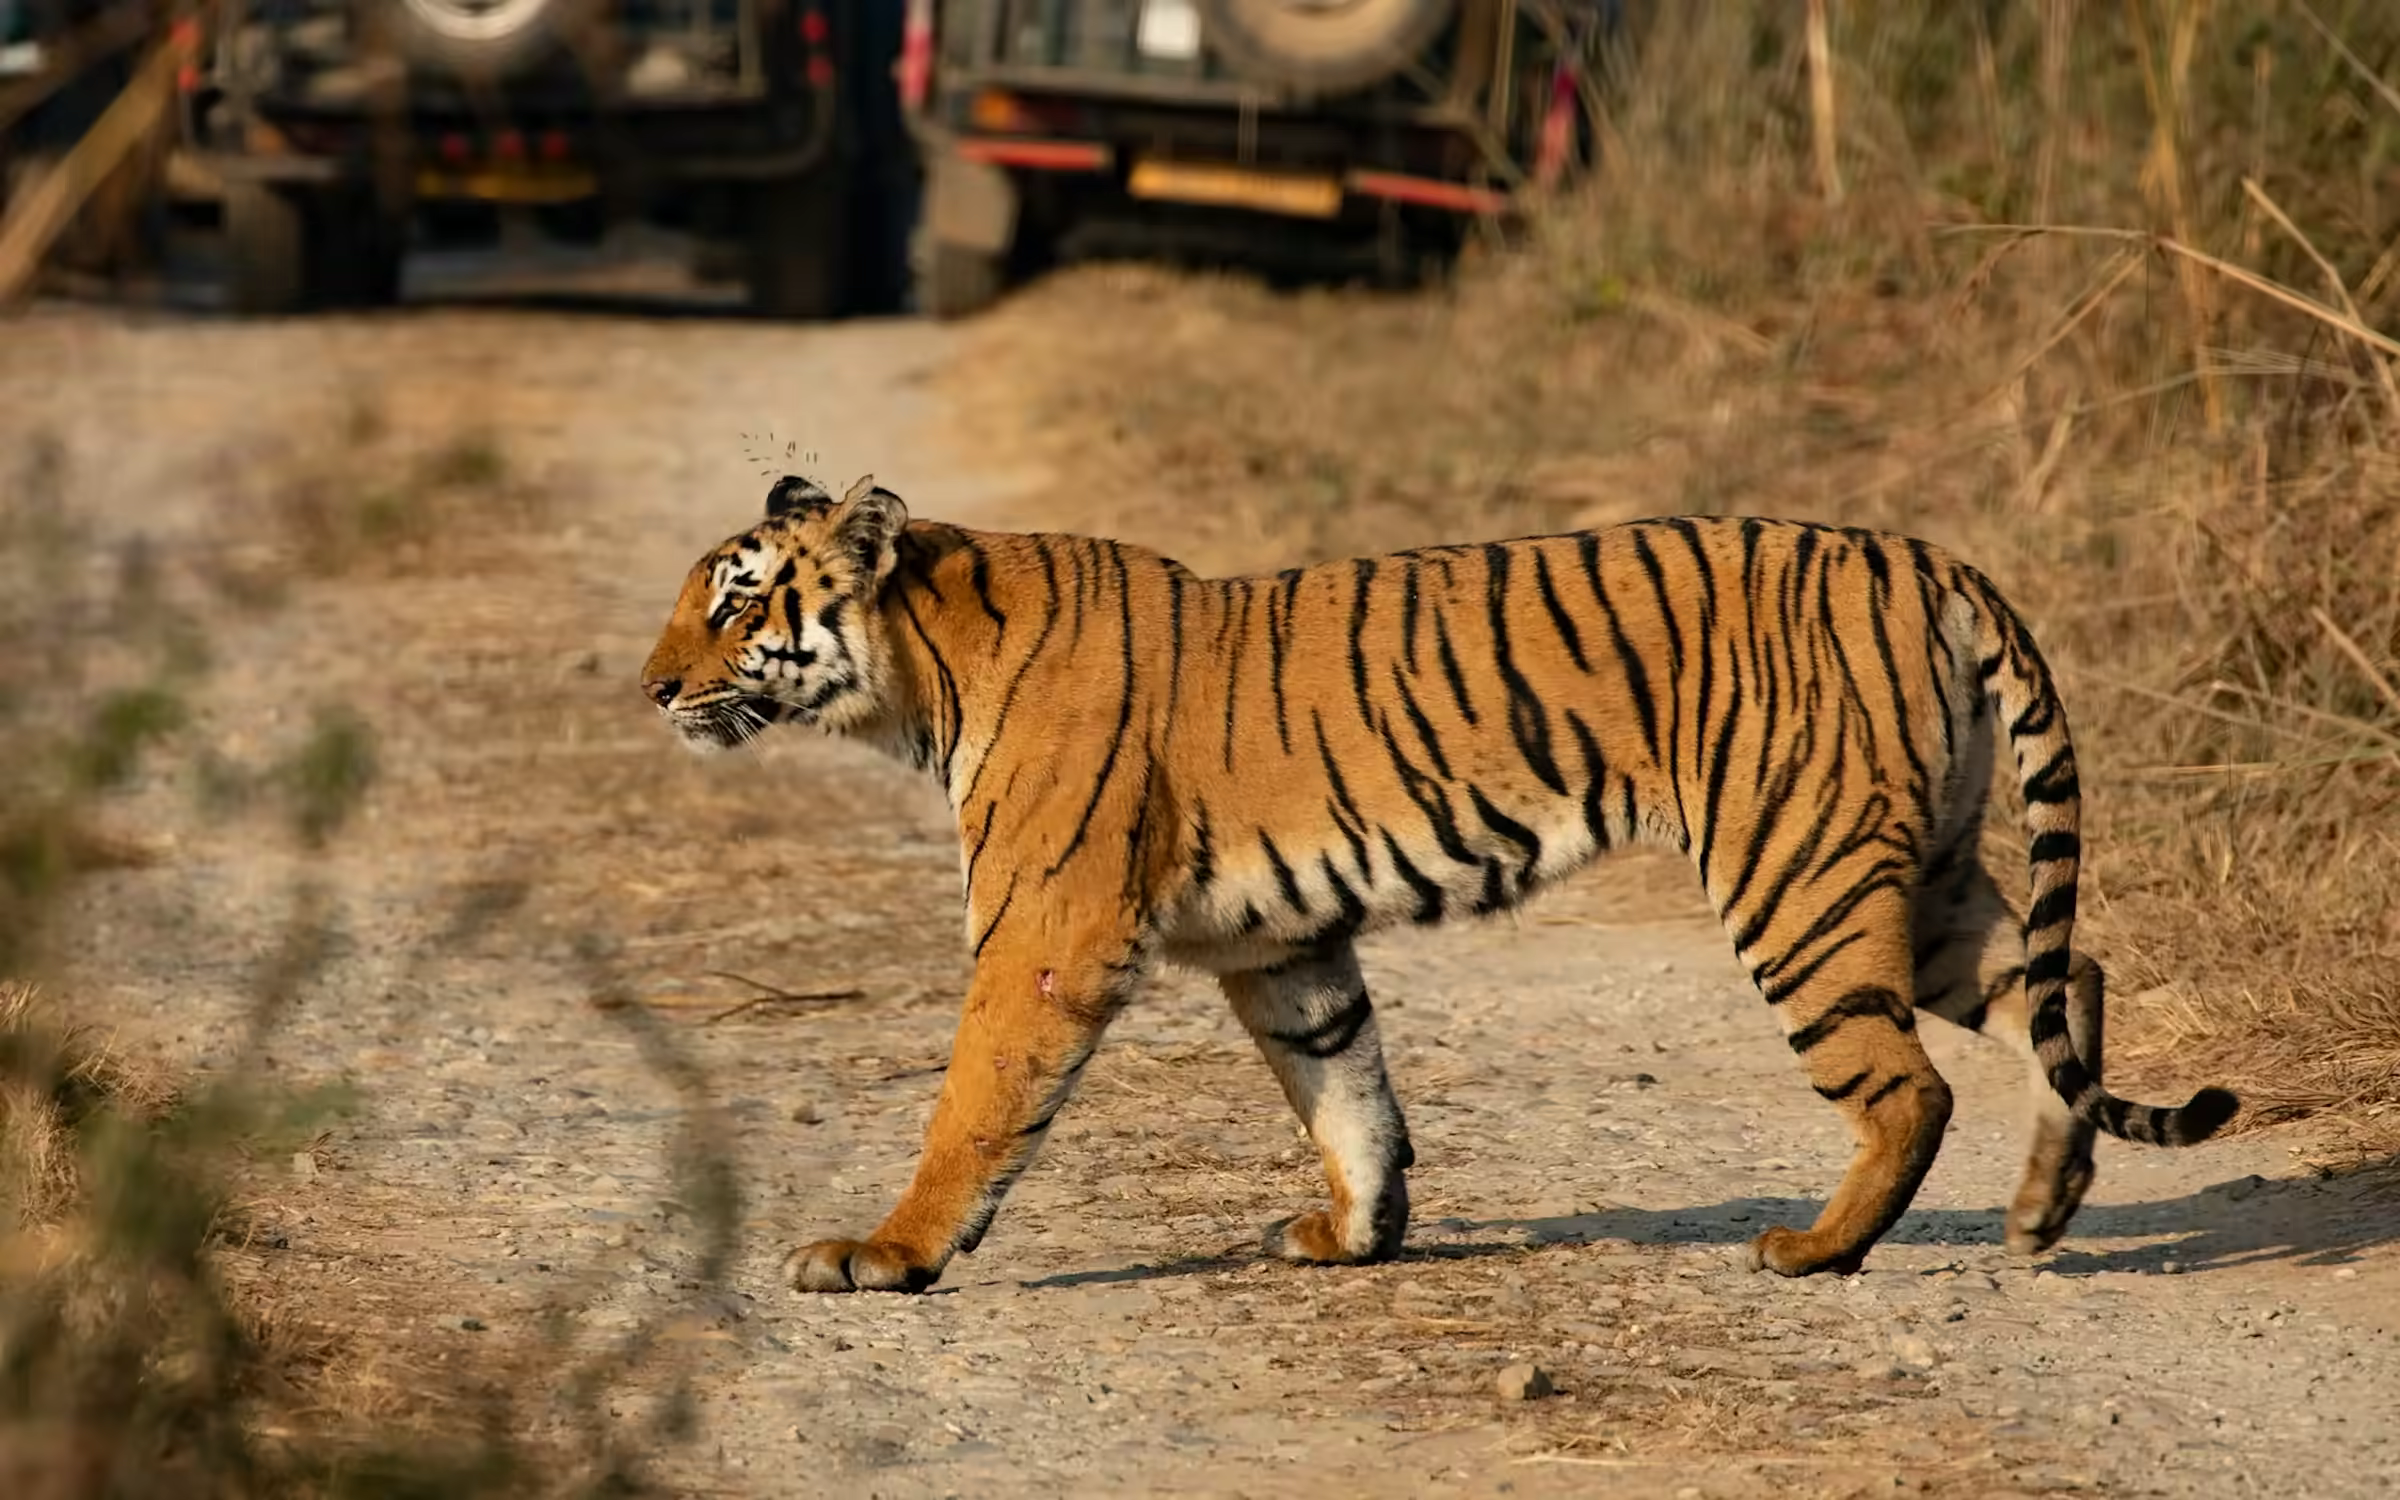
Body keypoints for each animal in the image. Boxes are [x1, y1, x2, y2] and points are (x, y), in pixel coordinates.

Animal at [639, 471, 2239, 1294]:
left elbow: (975, 1107)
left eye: (735, 602)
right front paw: (1355, 1236)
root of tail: (1926, 558)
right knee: (2069, 980)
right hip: (1917, 881)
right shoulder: (1280, 945)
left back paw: (1816, 1248)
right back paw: (2042, 1210)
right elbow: (1346, 1089)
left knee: (1911, 1085)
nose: (651, 688)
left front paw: (888, 1254)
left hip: (1800, 875)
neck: (921, 671)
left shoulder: (1051, 932)